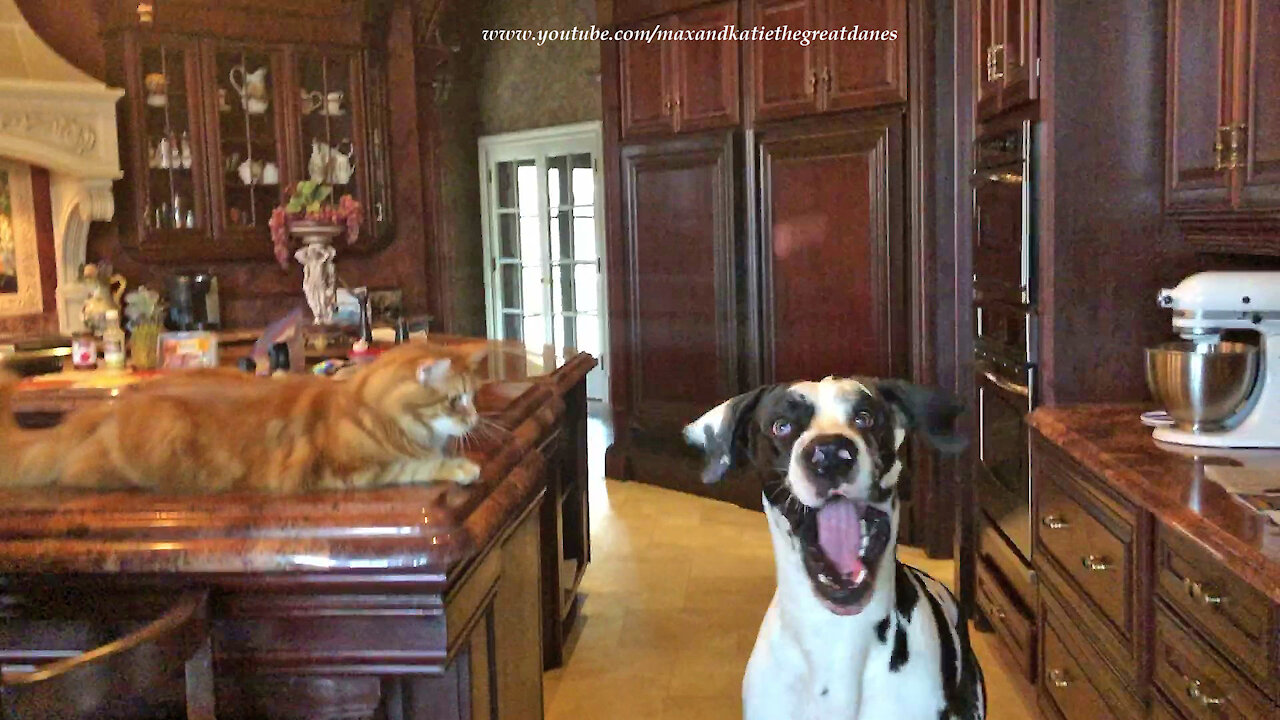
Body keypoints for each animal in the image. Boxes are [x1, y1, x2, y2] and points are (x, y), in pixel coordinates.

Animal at [0, 338, 488, 489]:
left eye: (473, 397)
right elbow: (416, 465)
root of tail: (115, 403)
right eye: (455, 400)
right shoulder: (346, 470)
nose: (475, 419)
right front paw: (460, 466)